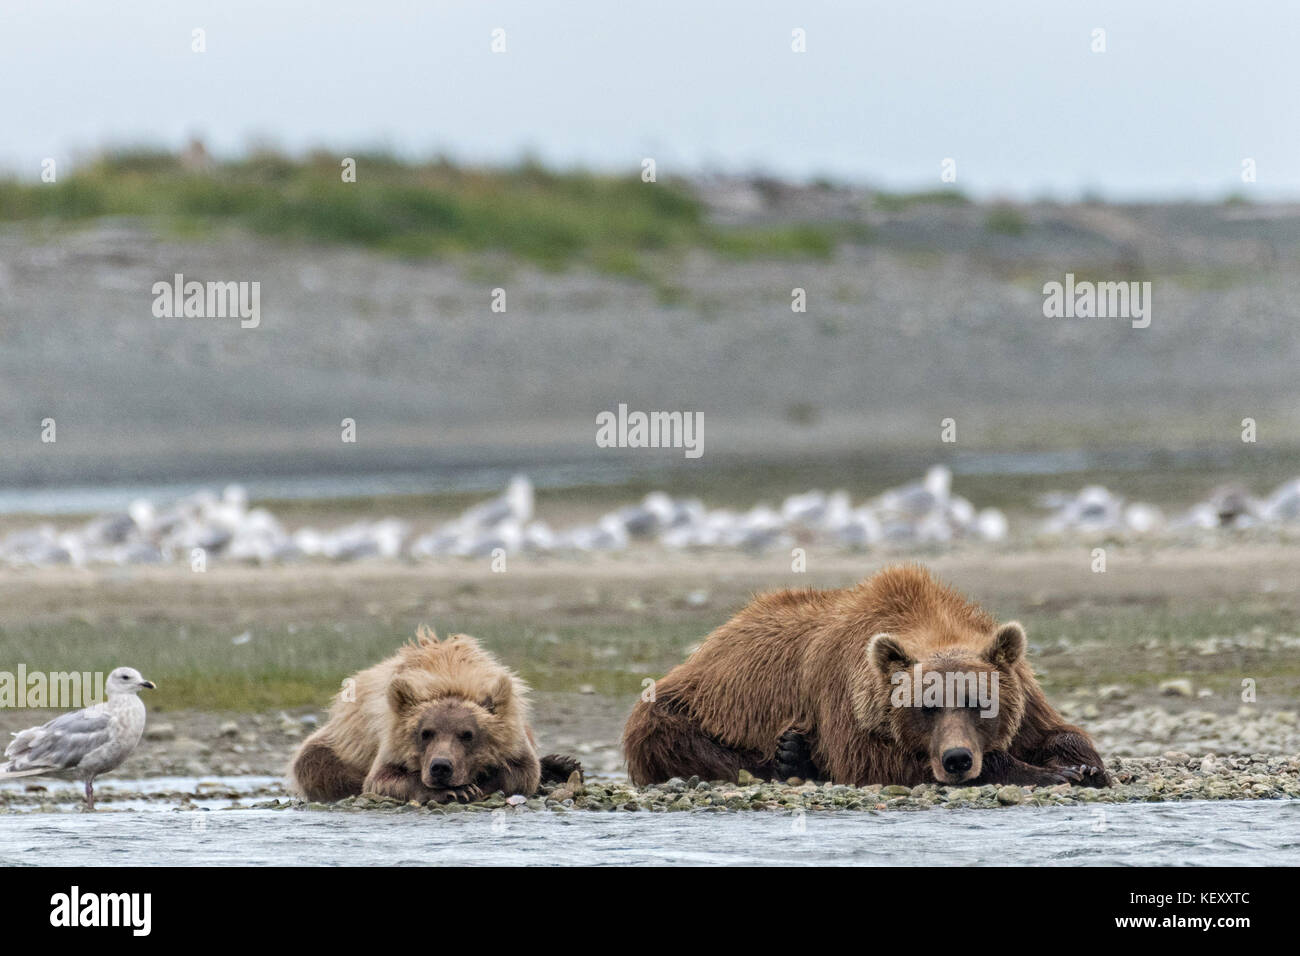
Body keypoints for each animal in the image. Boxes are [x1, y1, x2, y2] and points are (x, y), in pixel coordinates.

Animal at [290, 627, 582, 804]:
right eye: (425, 733)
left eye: (467, 734)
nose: (441, 767)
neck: (449, 674)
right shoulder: (389, 740)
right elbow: (381, 780)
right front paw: (457, 789)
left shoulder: (515, 734)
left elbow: (523, 772)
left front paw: (478, 782)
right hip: (339, 743)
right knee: (314, 762)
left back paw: (563, 765)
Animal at [623, 564, 1108, 788]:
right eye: (927, 706)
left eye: (979, 702)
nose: (957, 759)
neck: (929, 619)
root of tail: (713, 638)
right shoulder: (847, 697)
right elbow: (872, 761)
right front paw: (1050, 774)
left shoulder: (1020, 686)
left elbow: (1054, 730)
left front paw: (1083, 765)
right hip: (687, 705)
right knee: (672, 736)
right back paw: (788, 763)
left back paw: (795, 755)